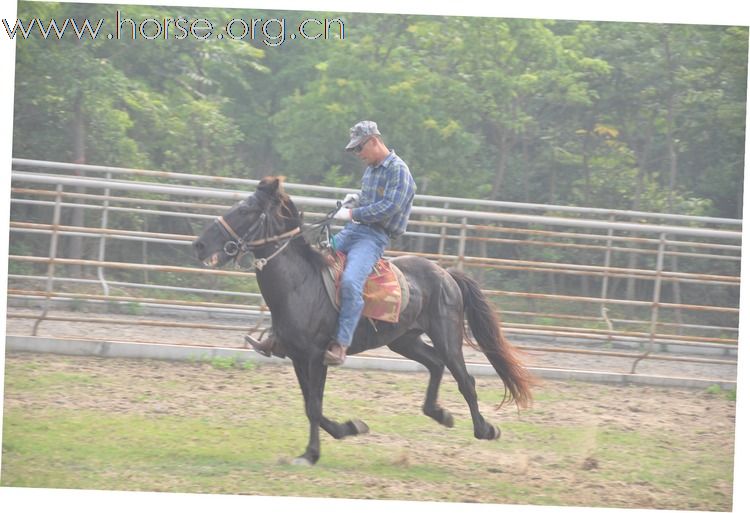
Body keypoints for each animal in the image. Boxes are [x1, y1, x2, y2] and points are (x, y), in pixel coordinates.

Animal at [194, 176, 536, 464]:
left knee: (465, 379)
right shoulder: (296, 357)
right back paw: (440, 414)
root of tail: (446, 274)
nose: (199, 245)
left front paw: (312, 454)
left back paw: (485, 429)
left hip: (447, 337)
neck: (300, 284)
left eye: (245, 209)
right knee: (435, 364)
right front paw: (351, 428)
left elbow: (314, 406)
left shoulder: (317, 357)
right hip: (404, 340)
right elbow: (311, 406)